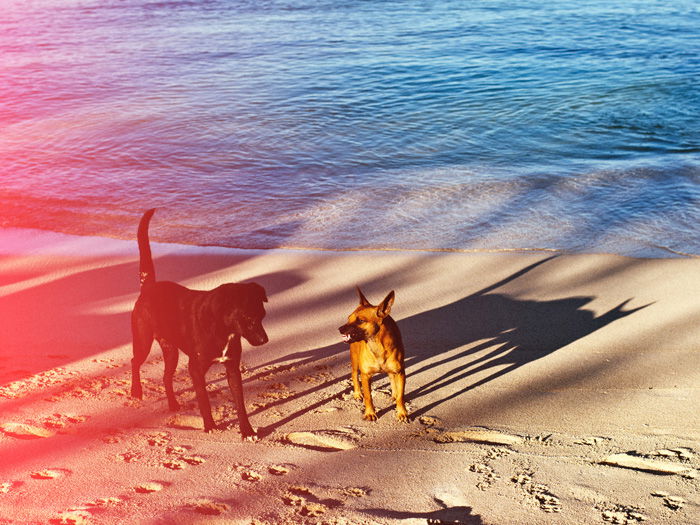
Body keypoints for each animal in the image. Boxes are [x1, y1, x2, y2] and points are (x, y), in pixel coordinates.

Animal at [129, 209, 268, 438]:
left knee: (166, 377)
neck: (221, 327)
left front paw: (247, 430)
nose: (265, 340)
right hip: (143, 341)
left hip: (171, 350)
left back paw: (173, 404)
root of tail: (148, 287)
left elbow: (240, 403)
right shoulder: (195, 368)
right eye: (248, 318)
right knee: (134, 362)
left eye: (263, 315)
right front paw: (210, 425)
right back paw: (136, 391)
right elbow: (204, 401)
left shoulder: (232, 368)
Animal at [338, 288, 408, 420]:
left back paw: (394, 394)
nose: (340, 329)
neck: (377, 346)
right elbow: (368, 397)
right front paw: (370, 413)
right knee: (354, 375)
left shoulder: (400, 373)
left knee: (391, 378)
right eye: (348, 318)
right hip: (355, 360)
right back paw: (357, 393)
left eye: (360, 320)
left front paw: (402, 412)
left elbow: (401, 395)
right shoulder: (365, 376)